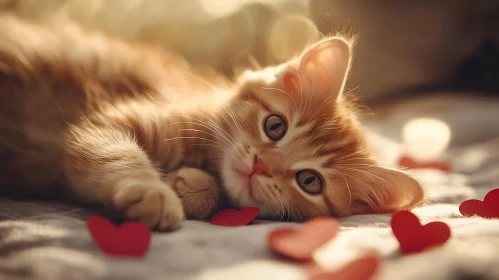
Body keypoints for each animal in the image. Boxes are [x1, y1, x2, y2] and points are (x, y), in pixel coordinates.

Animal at [0, 14, 426, 230]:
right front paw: (154, 193)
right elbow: (117, 155)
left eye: (310, 182)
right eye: (275, 126)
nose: (260, 165)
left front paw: (192, 188)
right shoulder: (107, 123)